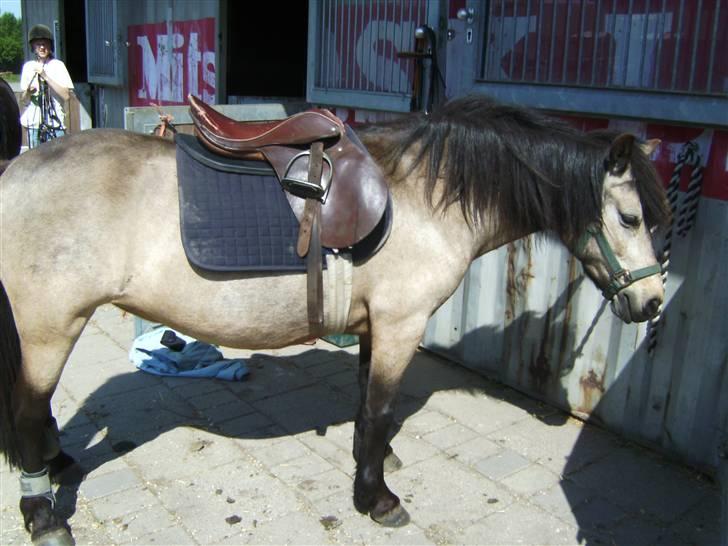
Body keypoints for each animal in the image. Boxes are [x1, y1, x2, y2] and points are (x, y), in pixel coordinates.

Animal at [0, 96, 670, 546]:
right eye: (631, 218)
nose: (653, 302)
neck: (428, 194)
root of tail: (13, 173)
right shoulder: (401, 325)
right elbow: (378, 410)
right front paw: (376, 499)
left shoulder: (378, 326)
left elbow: (368, 405)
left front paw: (372, 465)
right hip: (51, 329)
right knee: (28, 412)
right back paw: (43, 514)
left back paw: (56, 465)